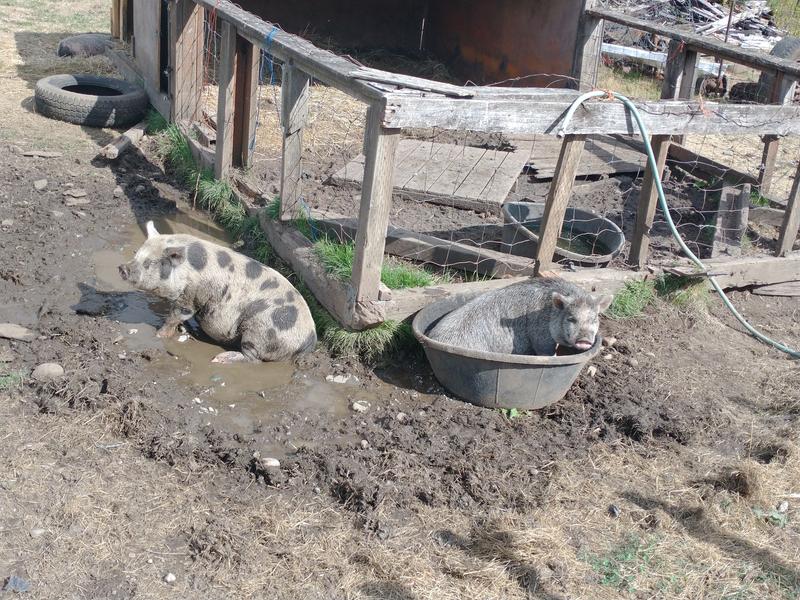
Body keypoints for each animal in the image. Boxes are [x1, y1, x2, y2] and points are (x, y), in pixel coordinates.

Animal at [118, 221, 316, 363]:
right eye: (137, 254)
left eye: (149, 263)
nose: (122, 268)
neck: (185, 270)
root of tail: (310, 340)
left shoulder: (190, 296)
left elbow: (176, 315)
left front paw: (158, 335)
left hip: (261, 331)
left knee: (252, 359)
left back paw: (218, 359)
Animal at [428, 278, 612, 356]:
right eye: (571, 318)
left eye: (594, 319)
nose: (584, 340)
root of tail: (432, 338)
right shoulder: (541, 336)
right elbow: (547, 353)